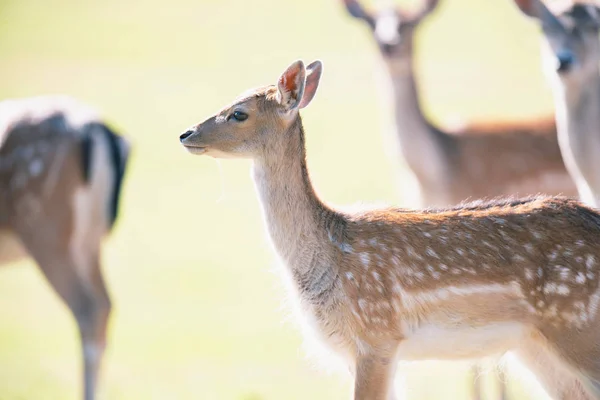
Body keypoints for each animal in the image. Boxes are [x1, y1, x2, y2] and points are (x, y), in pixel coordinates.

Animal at [179, 59, 600, 400]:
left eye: (239, 113)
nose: (185, 134)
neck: (326, 262)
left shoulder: (377, 336)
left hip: (580, 327)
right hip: (534, 344)